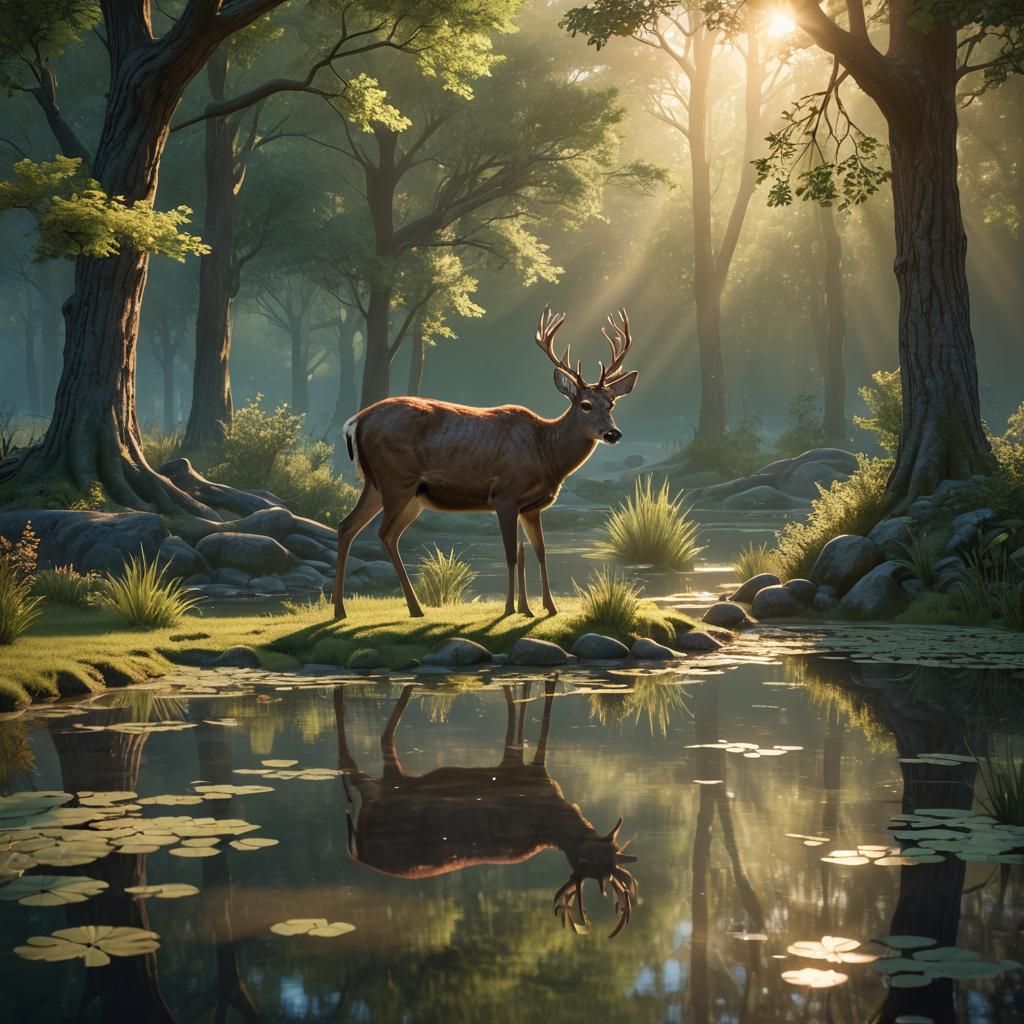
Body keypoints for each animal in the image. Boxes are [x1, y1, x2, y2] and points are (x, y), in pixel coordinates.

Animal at [334, 307, 638, 620]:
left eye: (611, 403)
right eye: (585, 405)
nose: (613, 433)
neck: (546, 454)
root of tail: (355, 421)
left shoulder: (531, 507)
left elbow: (536, 551)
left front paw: (542, 607)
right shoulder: (505, 495)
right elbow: (510, 553)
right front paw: (510, 608)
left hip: (384, 487)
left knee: (349, 527)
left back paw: (343, 608)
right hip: (397, 480)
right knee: (383, 533)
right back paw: (411, 608)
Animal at [334, 680, 639, 937]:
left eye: (613, 853)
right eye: (600, 859)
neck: (552, 817)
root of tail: (357, 851)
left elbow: (517, 710)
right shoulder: (528, 778)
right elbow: (530, 719)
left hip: (383, 792)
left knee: (380, 743)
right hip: (384, 797)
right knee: (363, 753)